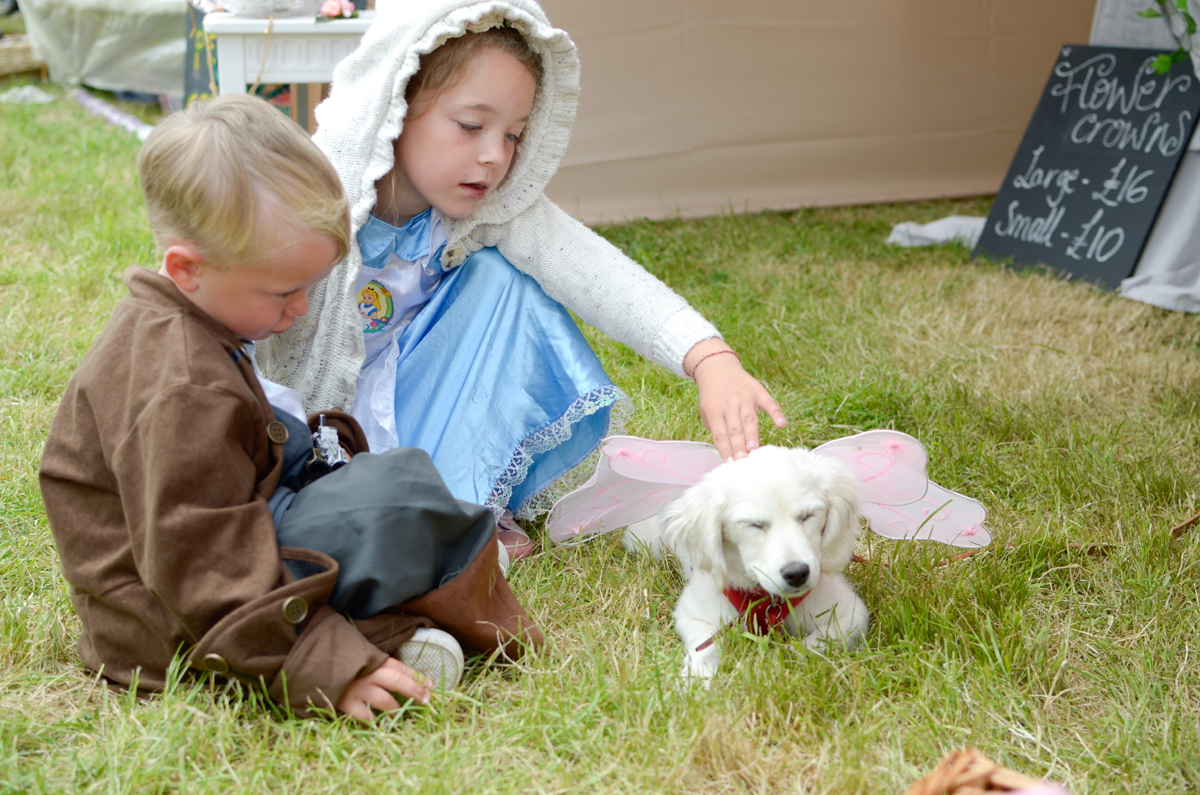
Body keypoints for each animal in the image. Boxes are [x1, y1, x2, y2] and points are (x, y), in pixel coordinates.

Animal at [624, 444, 868, 682]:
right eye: (754, 524)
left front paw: (786, 659)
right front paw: (695, 680)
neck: (766, 598)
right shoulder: (693, 614)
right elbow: (705, 648)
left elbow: (816, 644)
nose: (797, 573)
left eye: (808, 515)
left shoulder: (851, 613)